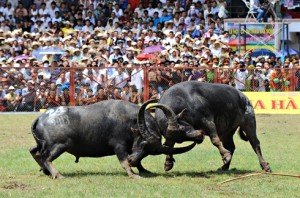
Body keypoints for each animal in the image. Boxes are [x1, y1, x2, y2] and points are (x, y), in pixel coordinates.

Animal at [29, 100, 195, 179]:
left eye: (150, 151)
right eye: (143, 142)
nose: (132, 160)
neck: (130, 121)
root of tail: (41, 117)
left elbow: (139, 161)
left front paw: (142, 170)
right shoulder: (119, 146)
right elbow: (123, 161)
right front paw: (133, 174)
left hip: (43, 145)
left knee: (35, 152)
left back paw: (46, 171)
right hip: (60, 145)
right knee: (46, 158)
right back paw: (57, 175)